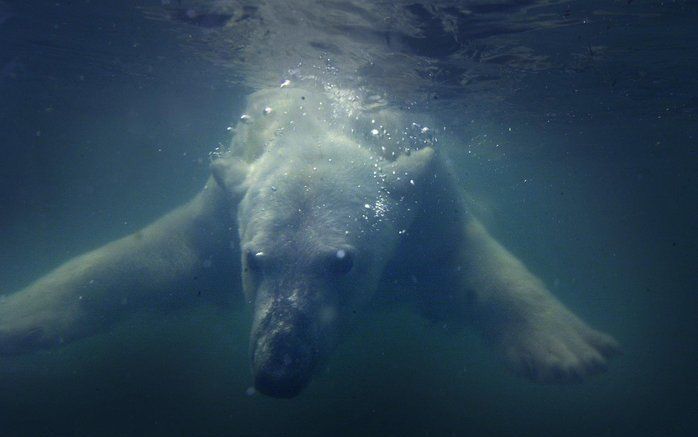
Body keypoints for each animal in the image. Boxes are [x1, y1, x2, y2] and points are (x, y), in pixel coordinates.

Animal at [0, 86, 620, 398]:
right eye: (253, 260)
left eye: (342, 262)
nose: (277, 370)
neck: (320, 115)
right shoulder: (222, 207)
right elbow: (148, 256)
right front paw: (16, 317)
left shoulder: (427, 201)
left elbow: (471, 257)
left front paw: (567, 352)